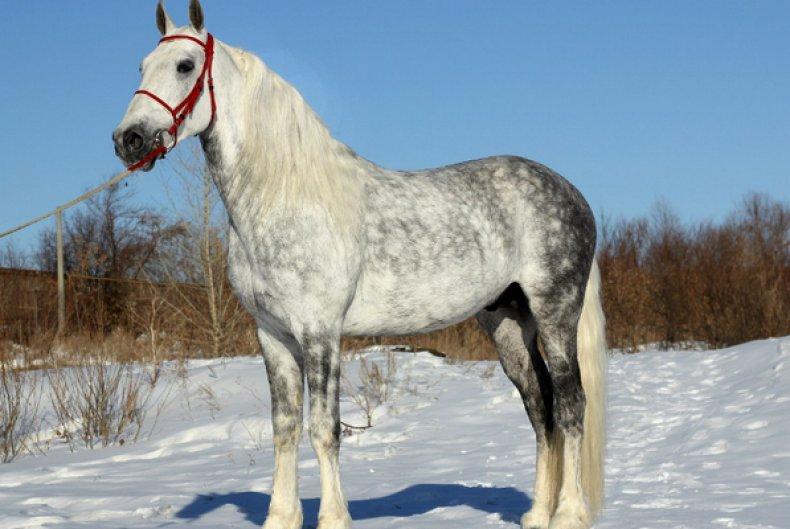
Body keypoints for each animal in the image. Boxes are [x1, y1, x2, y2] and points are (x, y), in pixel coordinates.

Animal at [112, 2, 607, 528]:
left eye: (185, 66)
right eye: (141, 67)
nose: (129, 140)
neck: (284, 197)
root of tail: (571, 192)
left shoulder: (320, 332)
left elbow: (324, 429)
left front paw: (333, 518)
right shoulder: (273, 335)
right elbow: (284, 426)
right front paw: (280, 517)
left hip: (555, 314)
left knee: (571, 404)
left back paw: (569, 513)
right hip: (508, 323)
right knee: (541, 407)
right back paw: (538, 513)